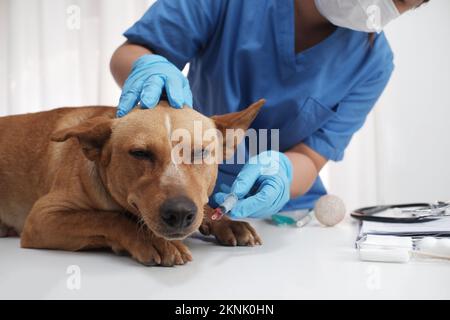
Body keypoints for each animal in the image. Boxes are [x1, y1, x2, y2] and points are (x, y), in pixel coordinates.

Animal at [0, 100, 264, 264]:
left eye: (199, 152)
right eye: (140, 153)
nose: (179, 213)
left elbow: (205, 207)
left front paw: (226, 222)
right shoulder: (43, 218)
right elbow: (105, 217)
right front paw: (151, 240)